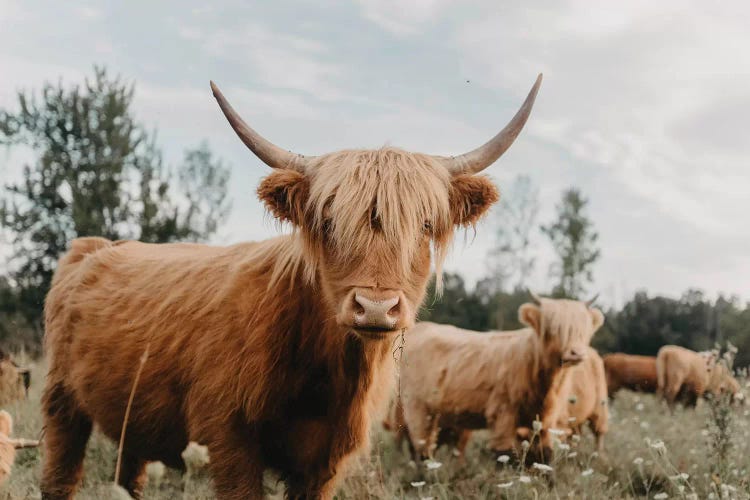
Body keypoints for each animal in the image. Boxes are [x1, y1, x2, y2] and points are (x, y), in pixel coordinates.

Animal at [41, 75, 544, 500]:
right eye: (327, 222)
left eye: (423, 225)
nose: (375, 307)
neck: (324, 373)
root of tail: (94, 245)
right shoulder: (229, 439)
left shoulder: (325, 462)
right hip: (61, 399)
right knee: (60, 473)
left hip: (132, 418)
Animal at [400, 294, 604, 462]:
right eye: (554, 329)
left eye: (584, 330)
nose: (576, 353)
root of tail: (421, 328)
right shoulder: (503, 412)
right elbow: (504, 454)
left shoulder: (546, 419)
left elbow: (544, 455)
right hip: (417, 408)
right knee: (421, 449)